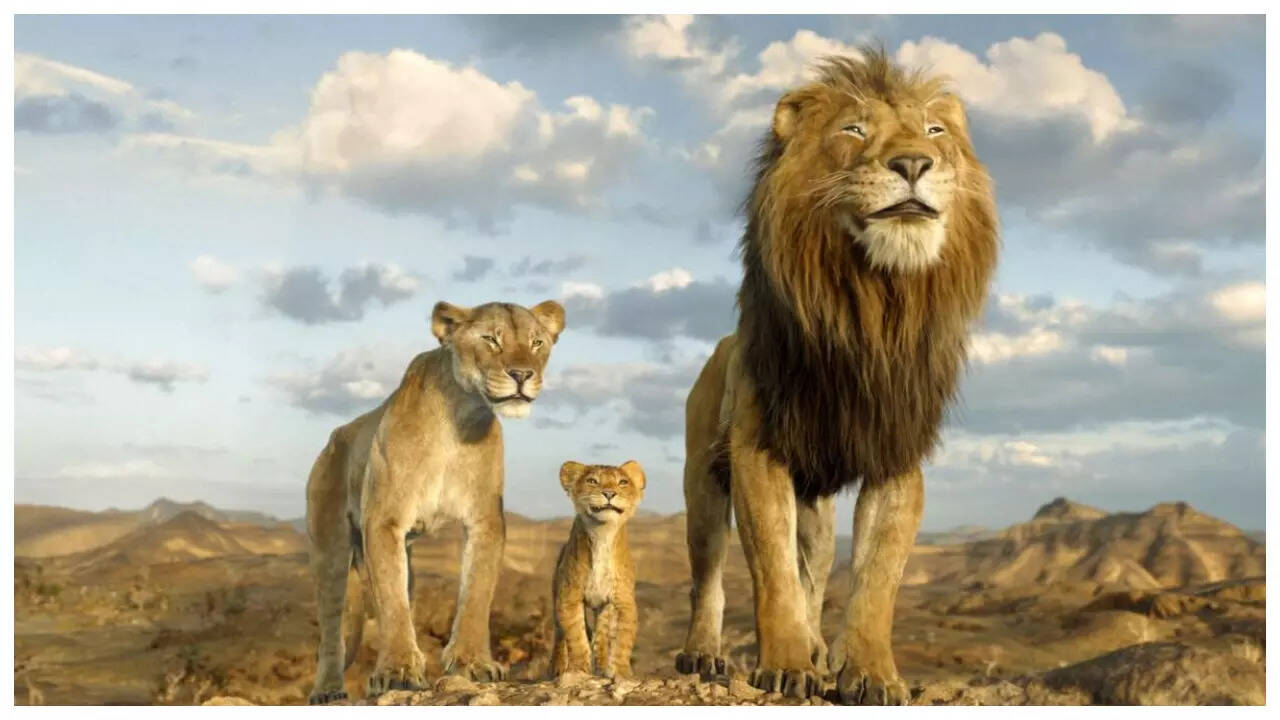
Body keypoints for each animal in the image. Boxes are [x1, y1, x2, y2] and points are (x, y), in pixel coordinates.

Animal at [305, 299, 566, 704]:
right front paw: (397, 671)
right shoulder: (384, 520)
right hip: (330, 547)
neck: (459, 416)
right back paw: (328, 690)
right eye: (491, 339)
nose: (522, 374)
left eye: (537, 342)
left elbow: (476, 593)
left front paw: (473, 662)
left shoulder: (485, 519)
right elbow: (392, 604)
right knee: (333, 625)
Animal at [550, 460, 646, 680]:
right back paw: (556, 669)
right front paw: (578, 670)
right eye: (592, 481)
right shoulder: (569, 597)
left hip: (604, 608)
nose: (609, 493)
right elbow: (576, 637)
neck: (602, 534)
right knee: (559, 636)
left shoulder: (623, 601)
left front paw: (620, 672)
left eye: (622, 482)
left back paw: (601, 666)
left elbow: (622, 641)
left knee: (601, 638)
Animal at [674, 50, 999, 704]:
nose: (913, 164)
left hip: (817, 512)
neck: (872, 306)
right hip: (702, 483)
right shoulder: (758, 449)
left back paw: (820, 649)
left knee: (815, 573)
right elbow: (772, 572)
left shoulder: (896, 453)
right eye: (853, 130)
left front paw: (871, 674)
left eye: (935, 132)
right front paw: (786, 665)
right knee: (709, 575)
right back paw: (704, 654)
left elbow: (876, 580)